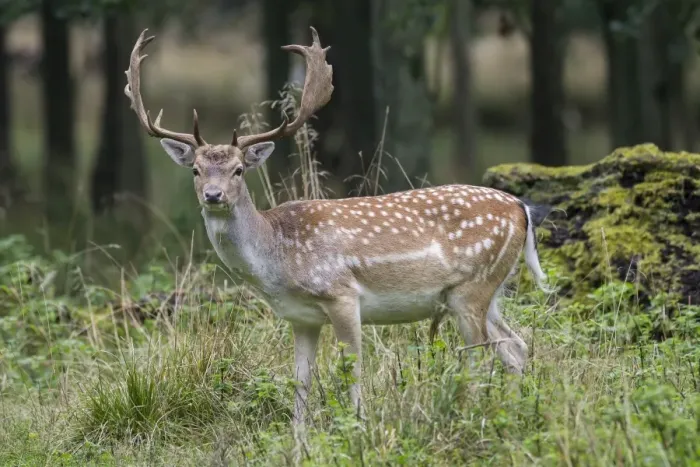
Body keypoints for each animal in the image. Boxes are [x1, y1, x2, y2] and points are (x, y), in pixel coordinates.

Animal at [124, 27, 553, 427]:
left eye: (239, 170)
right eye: (196, 170)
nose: (213, 195)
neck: (277, 260)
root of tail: (521, 208)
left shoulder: (343, 295)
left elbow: (353, 372)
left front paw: (358, 429)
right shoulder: (301, 318)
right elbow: (300, 384)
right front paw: (298, 444)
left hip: (472, 289)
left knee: (482, 358)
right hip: (486, 292)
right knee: (516, 347)